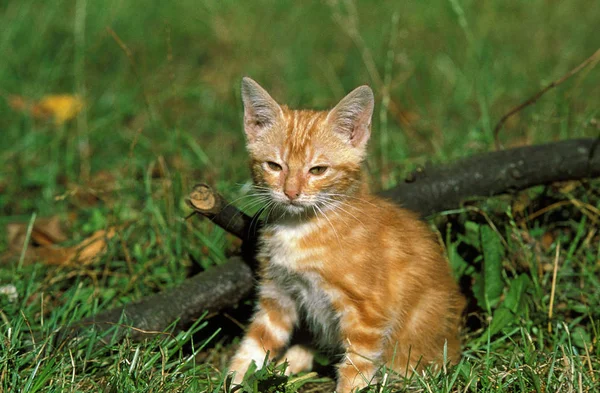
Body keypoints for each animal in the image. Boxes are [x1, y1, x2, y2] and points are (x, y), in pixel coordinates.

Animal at [227, 77, 466, 392]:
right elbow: (258, 340)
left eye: (318, 170)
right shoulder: (277, 294)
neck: (301, 227)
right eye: (274, 166)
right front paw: (234, 379)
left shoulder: (367, 312)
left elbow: (356, 368)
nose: (291, 192)